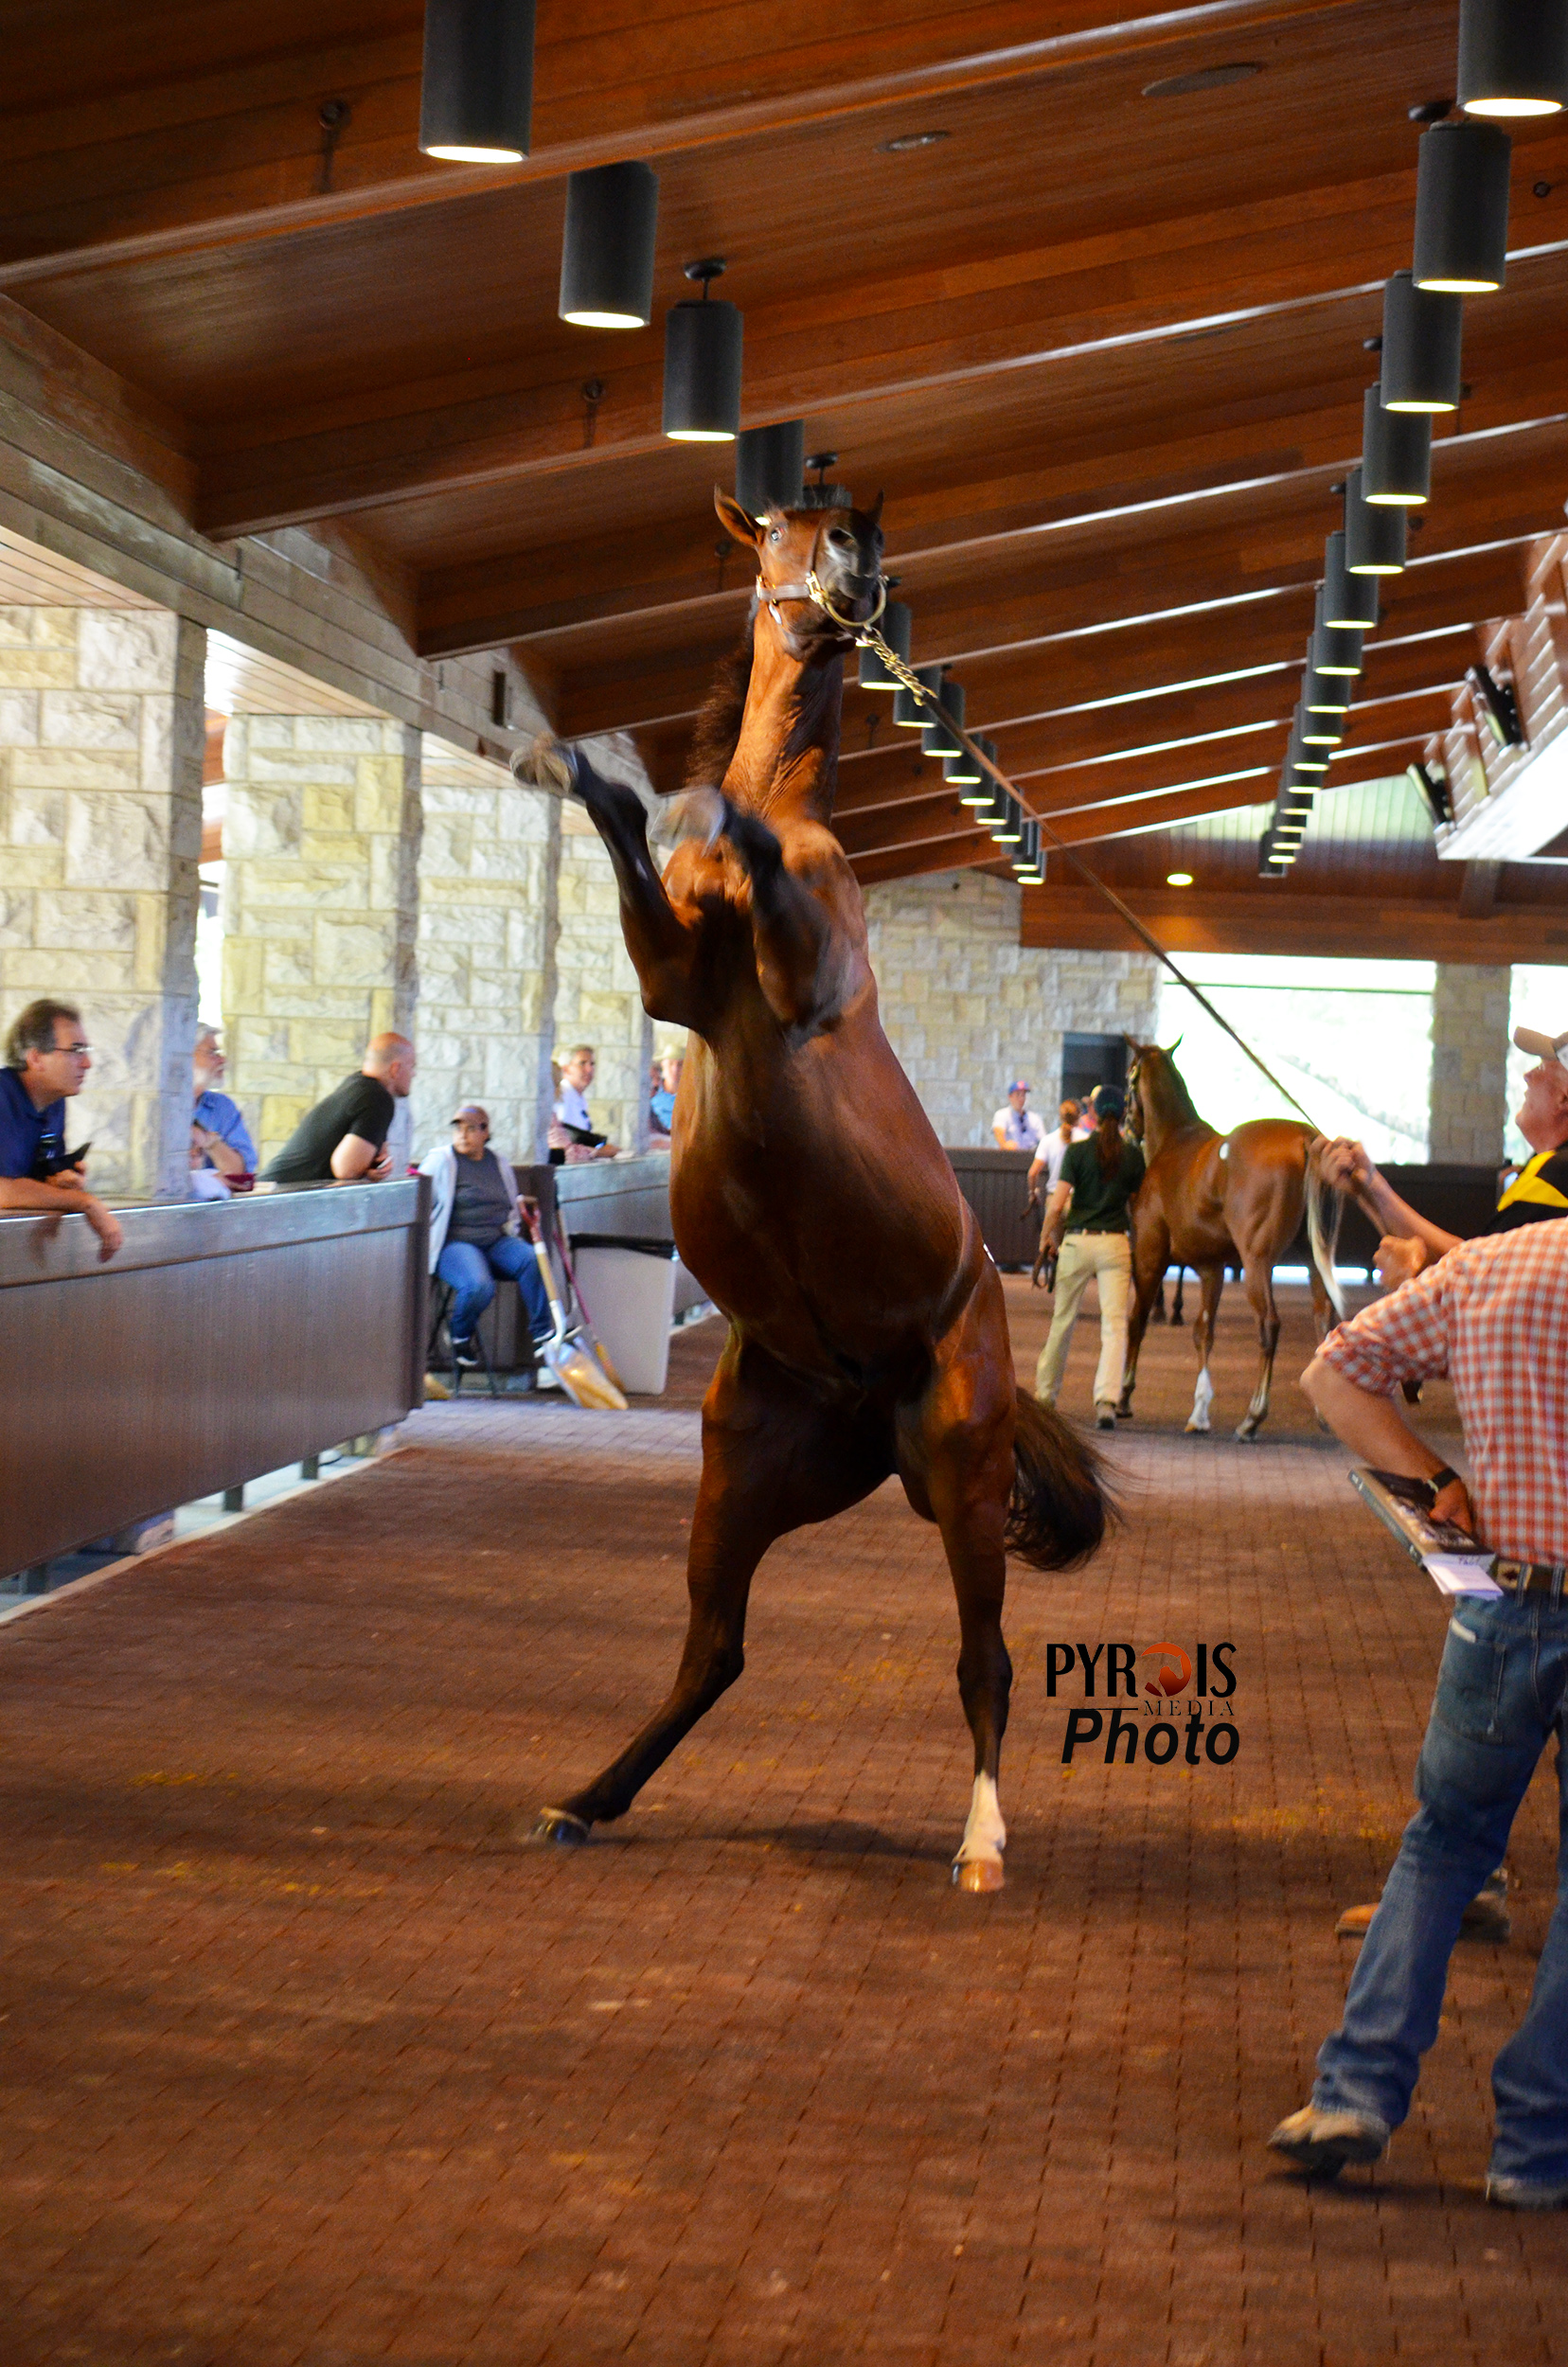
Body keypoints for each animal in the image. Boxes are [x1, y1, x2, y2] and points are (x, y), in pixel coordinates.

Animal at [516, 489, 1103, 1894]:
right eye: (784, 526)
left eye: (852, 523)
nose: (854, 568)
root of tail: (869, 1400)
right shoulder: (672, 973)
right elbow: (629, 844)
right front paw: (583, 773)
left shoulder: (798, 977)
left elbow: (737, 863)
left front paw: (687, 806)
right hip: (741, 1482)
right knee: (713, 1652)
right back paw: (585, 1799)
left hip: (963, 1472)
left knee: (984, 1659)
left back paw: (983, 1846)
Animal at [1117, 1041, 1354, 1439]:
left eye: (1128, 1078)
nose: (1125, 1128)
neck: (1174, 1142)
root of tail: (1306, 1139)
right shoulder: (1211, 1268)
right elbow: (1203, 1332)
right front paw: (1199, 1412)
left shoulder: (1149, 1256)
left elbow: (1137, 1321)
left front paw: (1122, 1397)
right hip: (1313, 1263)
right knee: (1324, 1322)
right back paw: (1323, 1413)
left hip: (1257, 1261)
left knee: (1269, 1324)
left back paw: (1253, 1417)